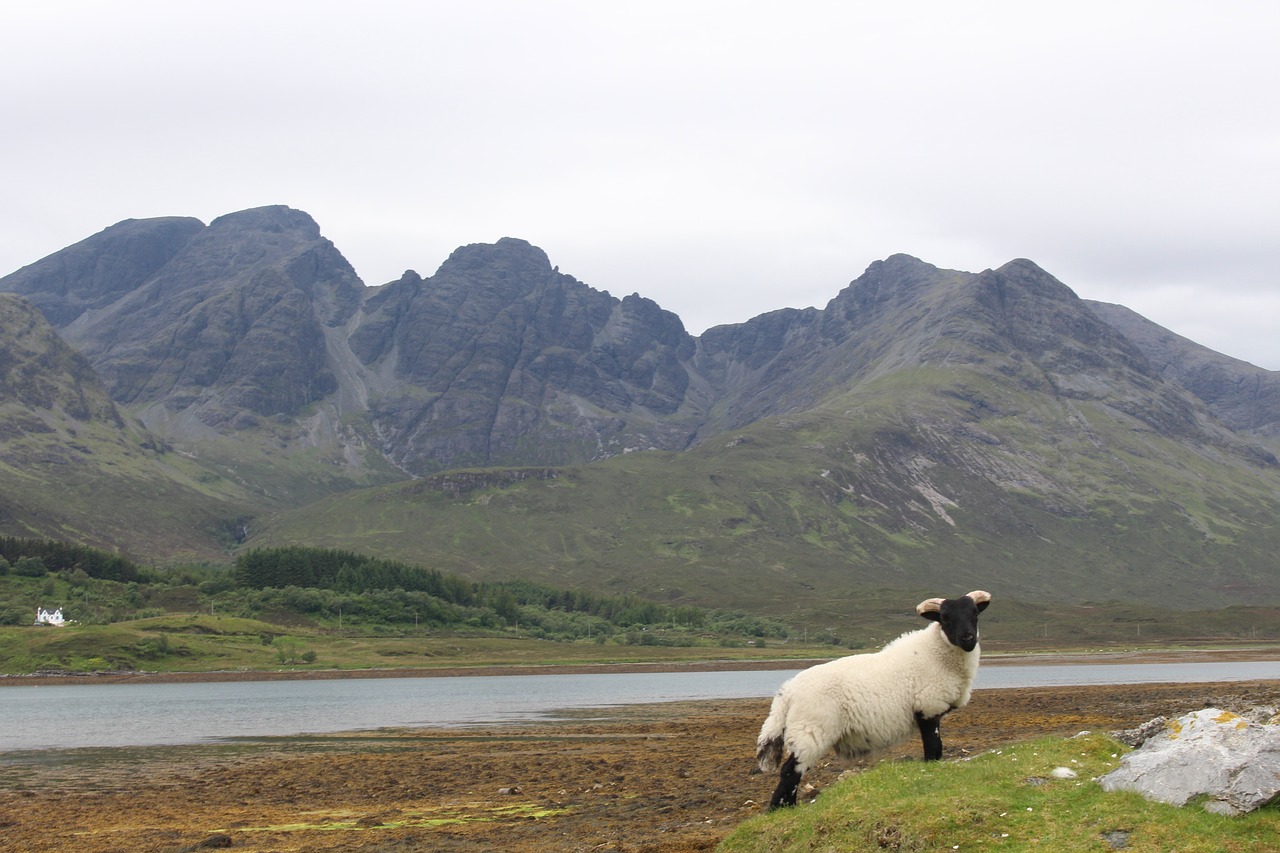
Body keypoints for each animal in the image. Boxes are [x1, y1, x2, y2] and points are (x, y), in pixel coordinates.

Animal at [752, 589, 993, 809]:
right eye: (944, 617)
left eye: (975, 613)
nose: (968, 638)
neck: (935, 653)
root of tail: (787, 692)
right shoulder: (928, 708)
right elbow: (933, 750)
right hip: (810, 731)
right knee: (791, 771)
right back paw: (781, 809)